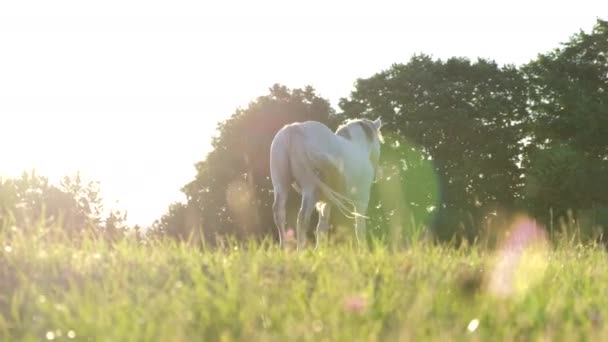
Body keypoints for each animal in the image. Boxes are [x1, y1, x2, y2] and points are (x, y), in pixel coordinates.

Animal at [270, 117, 382, 248]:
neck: (358, 146)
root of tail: (293, 129)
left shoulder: (326, 201)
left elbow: (321, 228)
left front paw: (319, 250)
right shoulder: (361, 200)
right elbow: (360, 228)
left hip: (280, 185)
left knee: (279, 213)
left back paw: (283, 248)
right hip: (309, 187)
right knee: (302, 217)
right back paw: (300, 250)